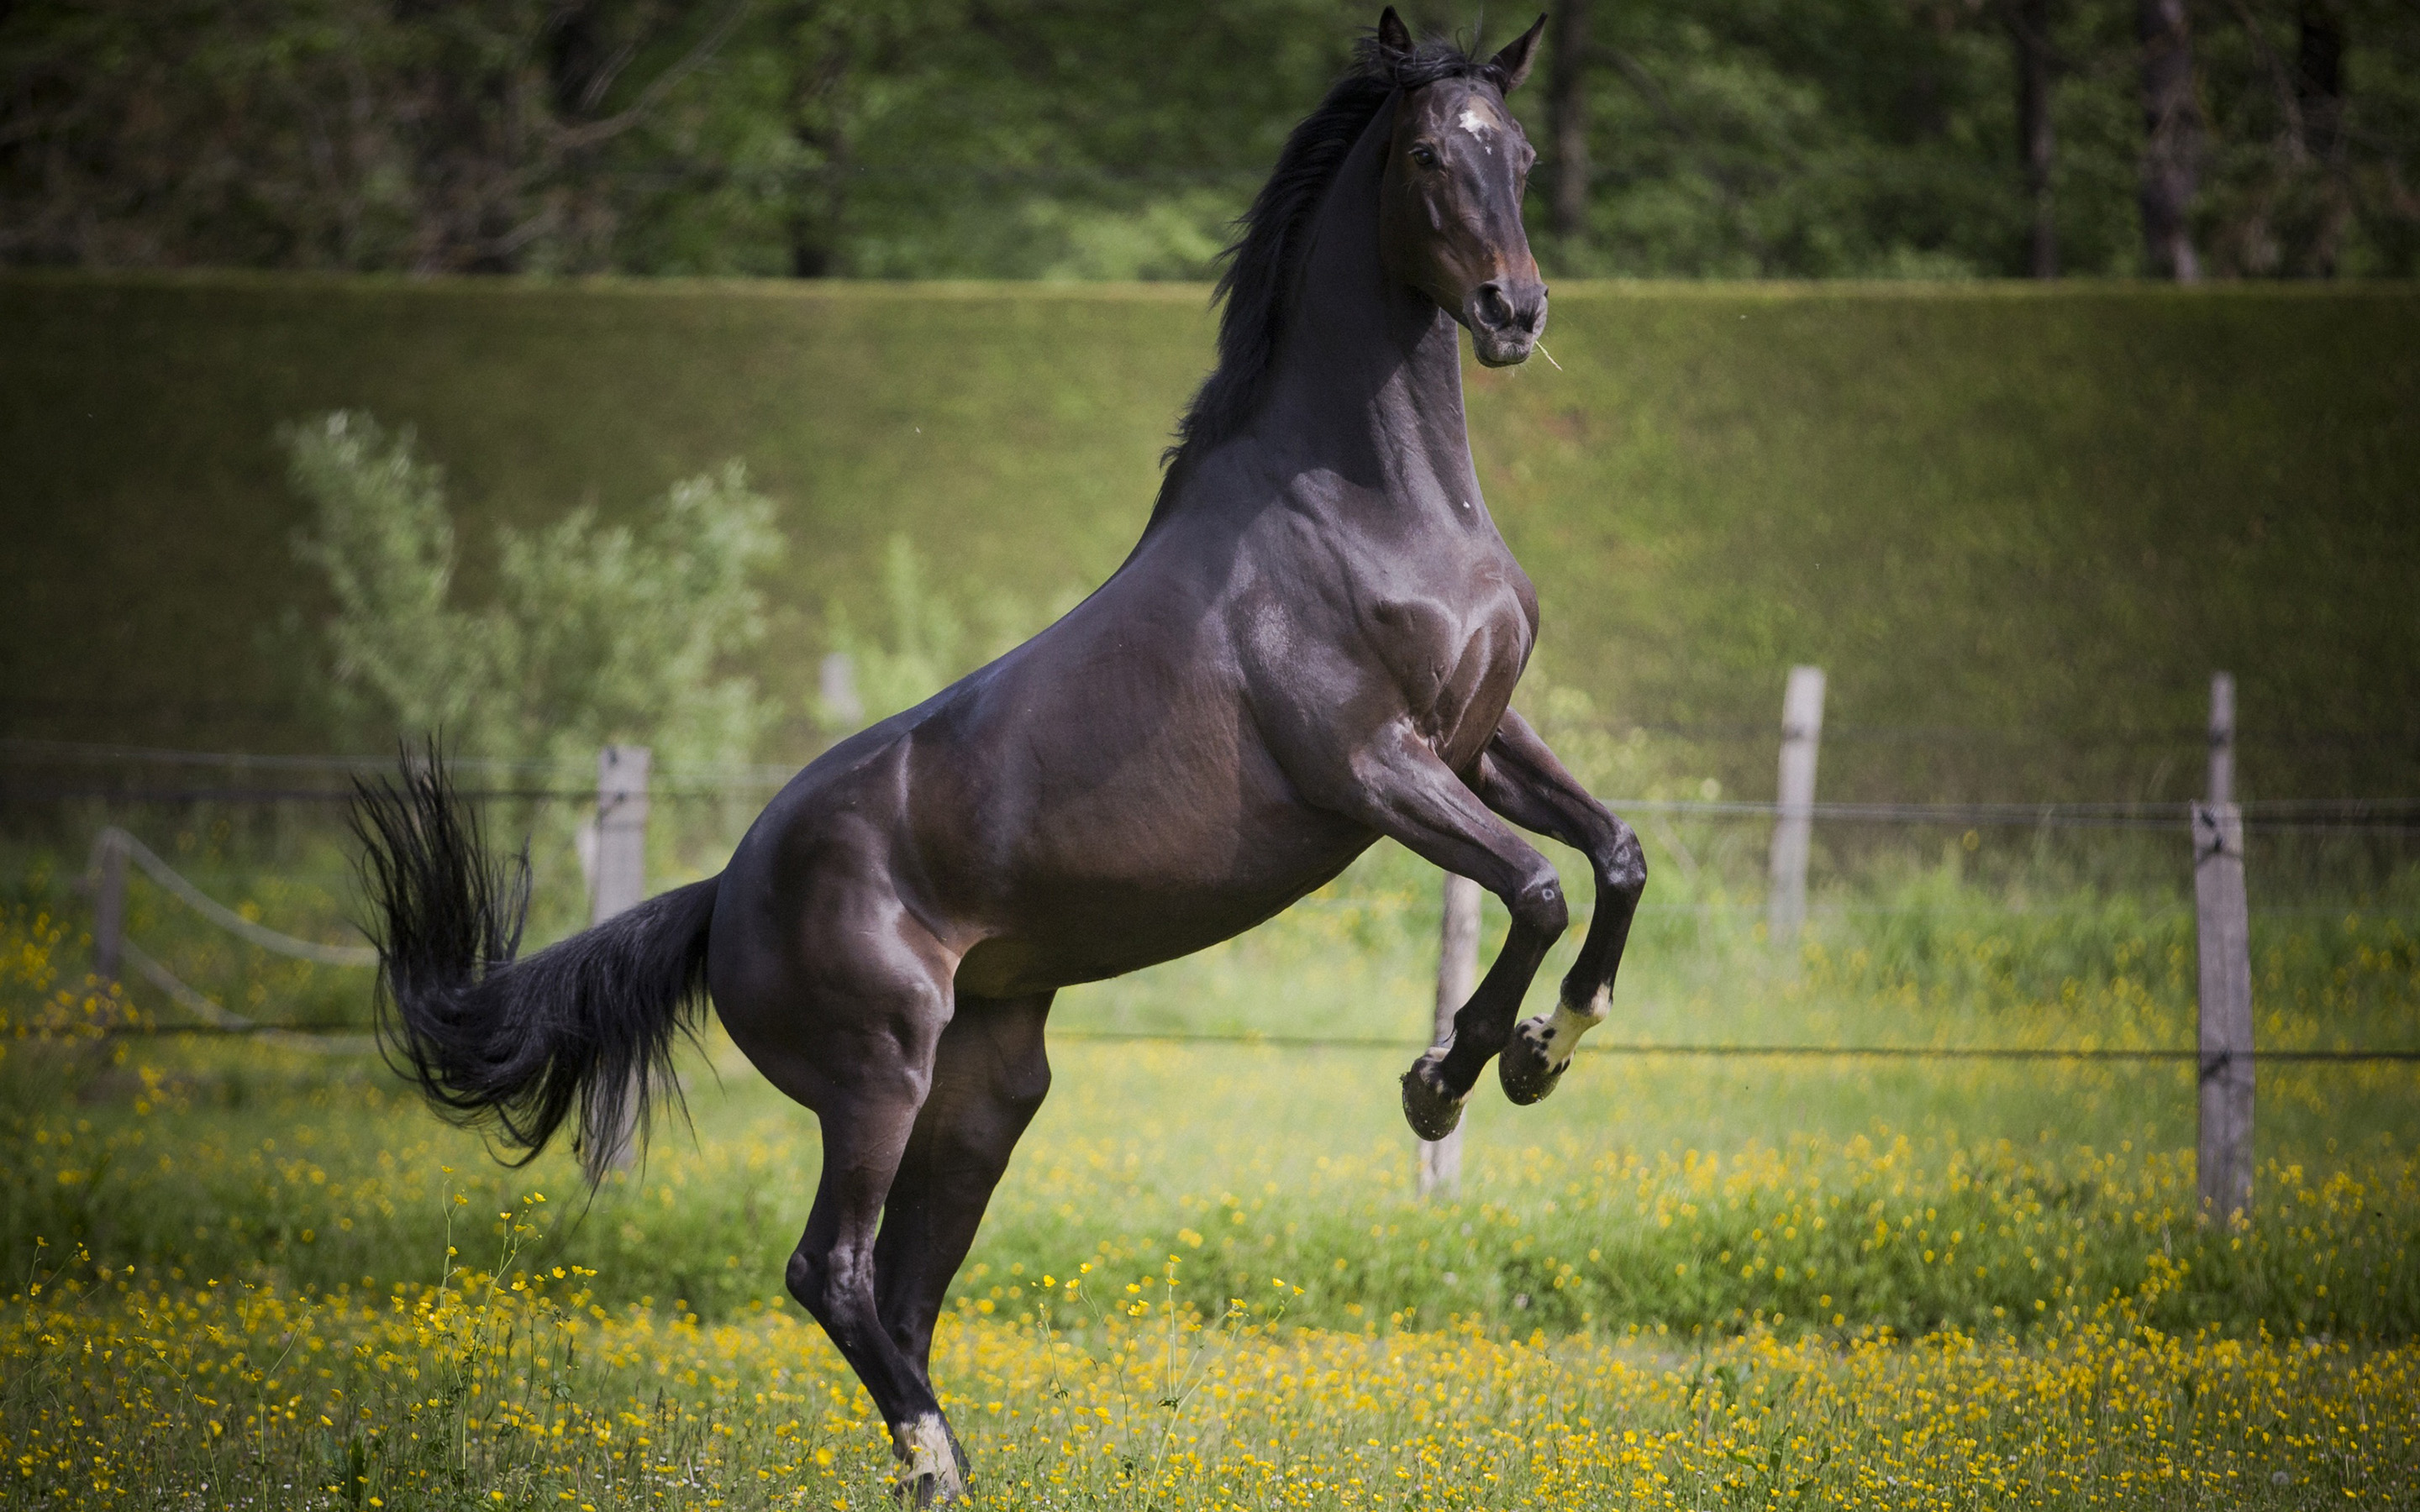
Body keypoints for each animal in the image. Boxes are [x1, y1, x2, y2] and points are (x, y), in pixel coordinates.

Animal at [358, 8, 1645, 1499]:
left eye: (1525, 154)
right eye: (1433, 154)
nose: (1513, 314)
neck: (1372, 505)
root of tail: (725, 894)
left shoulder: (1482, 741)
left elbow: (1614, 856)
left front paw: (1547, 1051)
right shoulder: (1373, 768)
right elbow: (1535, 888)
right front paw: (1442, 1085)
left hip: (986, 1092)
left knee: (904, 1290)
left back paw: (938, 1466)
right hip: (879, 1075)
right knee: (831, 1271)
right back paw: (939, 1465)